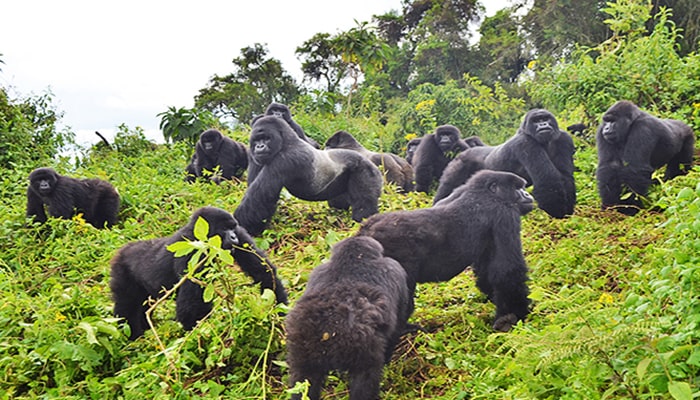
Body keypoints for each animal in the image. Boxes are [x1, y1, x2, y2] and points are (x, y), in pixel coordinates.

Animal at [109, 206, 288, 340]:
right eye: (225, 228)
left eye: (232, 227)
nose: (233, 237)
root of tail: (121, 250)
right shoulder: (193, 253)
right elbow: (191, 305)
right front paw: (200, 334)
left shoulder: (241, 233)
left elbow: (262, 271)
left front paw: (279, 309)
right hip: (120, 269)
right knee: (126, 306)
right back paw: (132, 338)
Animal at [234, 114, 382, 236]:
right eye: (257, 140)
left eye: (266, 138)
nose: (259, 147)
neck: (287, 140)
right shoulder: (254, 156)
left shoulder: (285, 160)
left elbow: (259, 199)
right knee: (338, 202)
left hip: (366, 170)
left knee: (364, 205)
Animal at [286, 238, 412, 400]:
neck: (355, 258)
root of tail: (329, 331)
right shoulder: (394, 269)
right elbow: (399, 322)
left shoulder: (317, 271)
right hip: (361, 347)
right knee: (365, 379)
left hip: (303, 342)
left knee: (303, 380)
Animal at [358, 169, 532, 332]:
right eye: (517, 188)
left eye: (522, 187)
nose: (528, 194)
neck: (483, 192)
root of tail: (366, 229)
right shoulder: (504, 213)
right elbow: (507, 271)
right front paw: (511, 317)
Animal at [434, 108, 576, 219]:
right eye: (536, 121)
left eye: (545, 118)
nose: (543, 125)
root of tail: (463, 153)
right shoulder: (525, 143)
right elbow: (548, 180)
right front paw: (556, 213)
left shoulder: (563, 138)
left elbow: (565, 176)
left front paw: (567, 213)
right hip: (458, 164)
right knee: (447, 188)